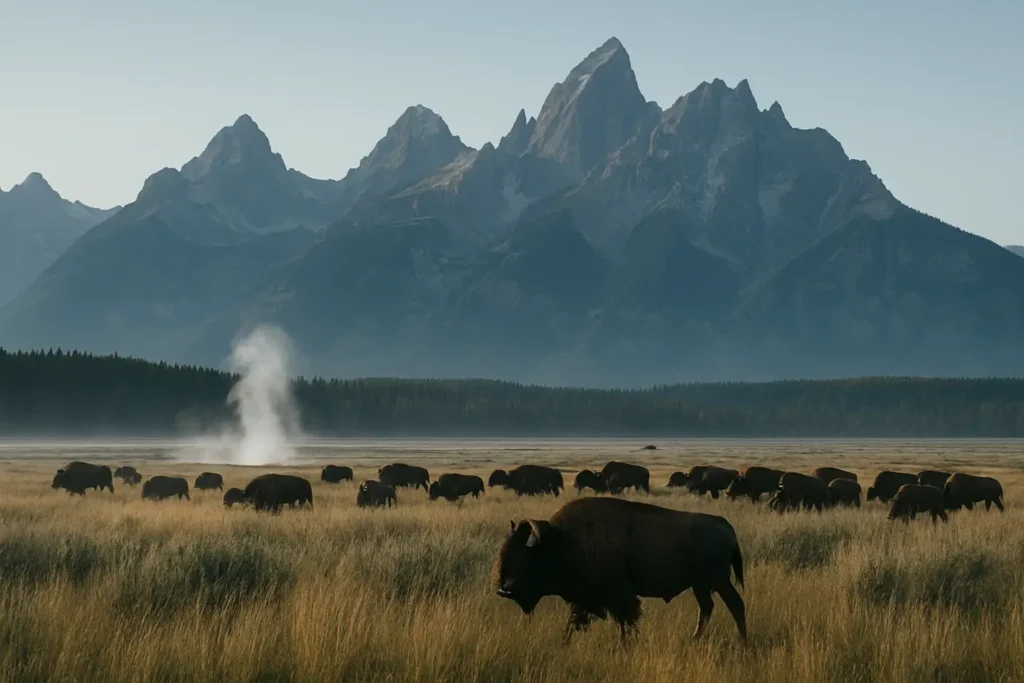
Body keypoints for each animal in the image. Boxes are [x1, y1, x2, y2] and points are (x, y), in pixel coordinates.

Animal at [493, 497, 746, 644]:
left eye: (524, 558)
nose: (504, 589)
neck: (563, 541)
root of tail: (726, 525)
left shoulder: (616, 595)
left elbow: (624, 620)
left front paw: (623, 645)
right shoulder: (589, 598)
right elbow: (576, 621)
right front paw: (564, 642)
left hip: (712, 582)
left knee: (727, 605)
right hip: (706, 584)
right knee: (716, 607)